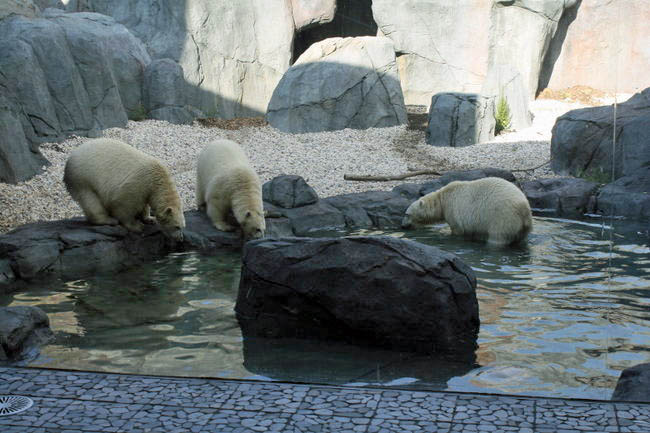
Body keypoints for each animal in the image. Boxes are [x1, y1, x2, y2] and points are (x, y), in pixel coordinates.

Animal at [400, 176, 532, 245]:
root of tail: (524, 208)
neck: (442, 199)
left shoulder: (452, 210)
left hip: (503, 217)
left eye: (407, 214)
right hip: (521, 226)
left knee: (498, 237)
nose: (402, 225)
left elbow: (457, 229)